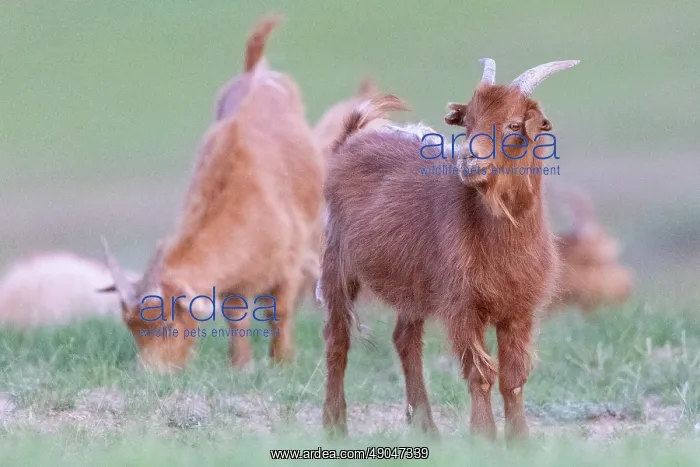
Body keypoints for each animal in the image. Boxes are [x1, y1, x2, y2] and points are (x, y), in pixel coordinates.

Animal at [98, 14, 324, 373]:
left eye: (168, 322)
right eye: (131, 325)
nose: (152, 374)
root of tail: (256, 70)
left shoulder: (288, 268)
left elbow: (280, 310)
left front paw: (282, 362)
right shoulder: (232, 284)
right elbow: (236, 314)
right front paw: (241, 364)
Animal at [318, 58, 579, 440]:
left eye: (514, 125)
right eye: (469, 122)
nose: (469, 161)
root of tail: (351, 139)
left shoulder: (520, 309)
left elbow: (513, 378)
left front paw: (520, 441)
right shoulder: (462, 305)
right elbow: (481, 374)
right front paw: (483, 438)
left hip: (412, 284)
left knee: (405, 339)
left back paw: (427, 427)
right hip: (337, 261)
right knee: (337, 340)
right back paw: (334, 426)